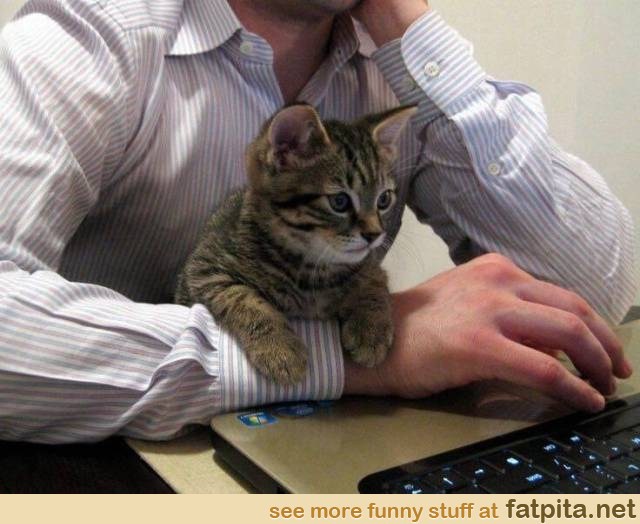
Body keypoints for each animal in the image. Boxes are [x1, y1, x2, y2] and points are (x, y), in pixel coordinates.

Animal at [175, 103, 416, 384]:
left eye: (384, 200)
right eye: (340, 202)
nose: (375, 234)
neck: (313, 266)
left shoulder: (368, 264)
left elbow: (373, 280)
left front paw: (370, 328)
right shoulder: (203, 269)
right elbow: (244, 298)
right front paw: (279, 349)